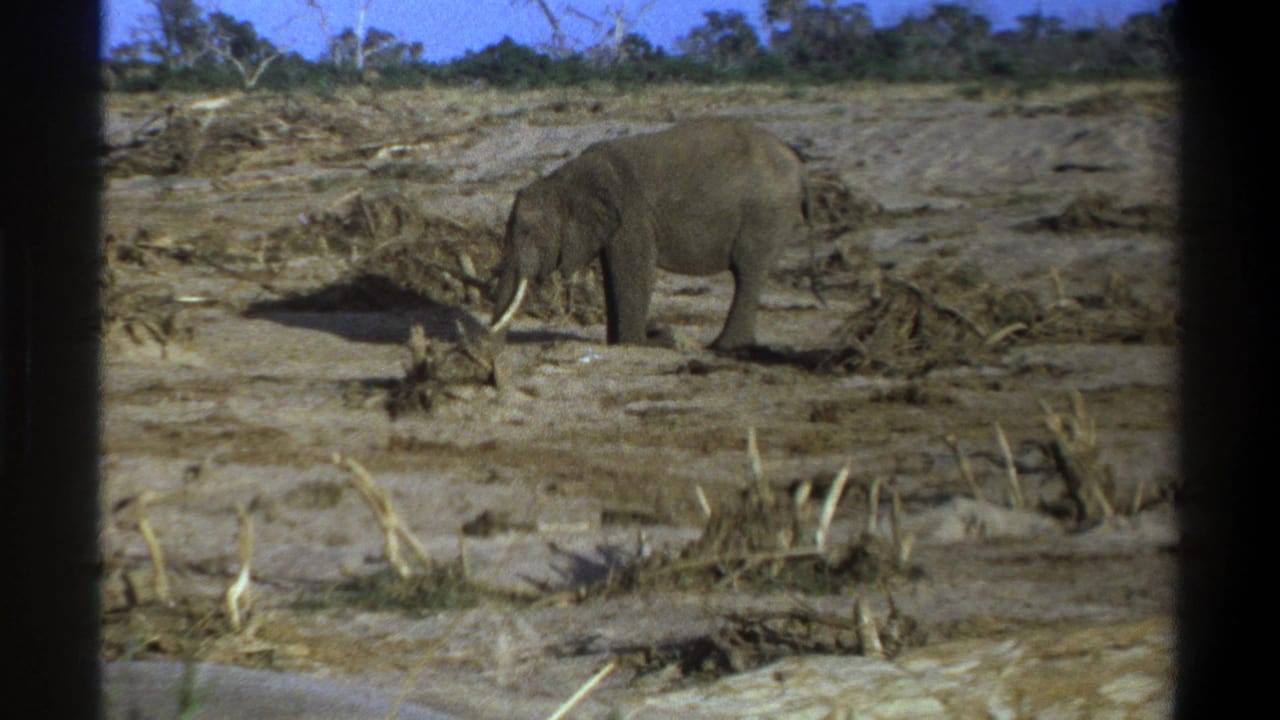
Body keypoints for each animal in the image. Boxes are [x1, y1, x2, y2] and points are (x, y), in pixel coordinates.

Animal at [489, 118, 809, 351]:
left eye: (527, 231)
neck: (563, 178)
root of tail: (795, 159)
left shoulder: (632, 213)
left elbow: (635, 271)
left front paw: (642, 342)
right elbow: (614, 274)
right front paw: (620, 343)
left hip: (767, 213)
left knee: (748, 271)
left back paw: (723, 347)